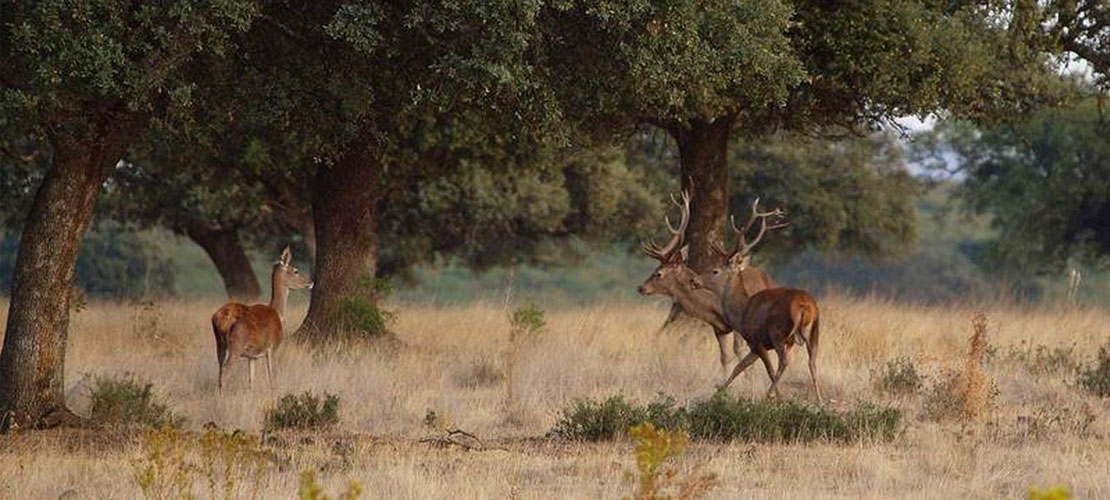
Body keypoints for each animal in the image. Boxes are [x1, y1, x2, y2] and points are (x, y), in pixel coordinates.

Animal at [639, 190, 777, 377]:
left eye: (658, 273)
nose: (641, 287)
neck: (713, 306)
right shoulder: (718, 328)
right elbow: (724, 357)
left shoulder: (740, 323)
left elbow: (740, 352)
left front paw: (749, 379)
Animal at [692, 198, 825, 402]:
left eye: (715, 271)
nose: (694, 280)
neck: (741, 313)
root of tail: (806, 305)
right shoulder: (755, 345)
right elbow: (740, 367)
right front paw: (718, 393)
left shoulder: (757, 340)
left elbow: (767, 369)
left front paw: (776, 397)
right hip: (813, 331)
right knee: (812, 361)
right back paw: (819, 400)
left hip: (779, 332)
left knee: (784, 362)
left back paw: (769, 395)